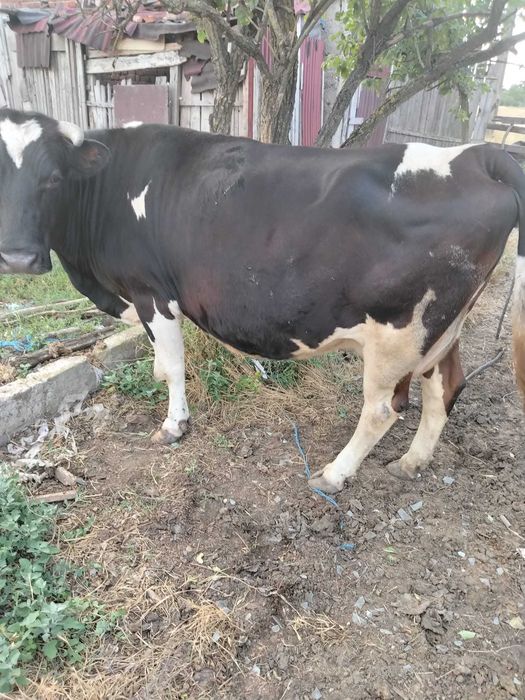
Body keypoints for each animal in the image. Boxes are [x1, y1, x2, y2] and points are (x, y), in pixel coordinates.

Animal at [1, 108, 524, 494]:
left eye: (53, 179)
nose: (18, 257)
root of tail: (476, 156)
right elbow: (160, 365)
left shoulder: (153, 292)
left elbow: (172, 366)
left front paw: (174, 425)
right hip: (442, 329)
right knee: (446, 387)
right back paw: (411, 463)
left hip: (401, 332)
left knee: (382, 409)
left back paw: (333, 474)